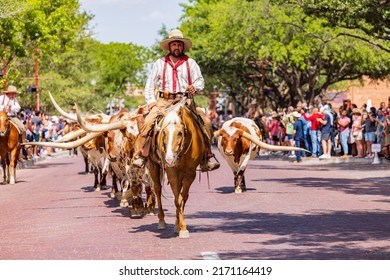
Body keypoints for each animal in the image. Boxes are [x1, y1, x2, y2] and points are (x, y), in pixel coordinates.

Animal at [148, 98, 206, 238]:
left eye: (180, 133)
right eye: (164, 133)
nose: (169, 159)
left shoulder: (190, 173)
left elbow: (182, 198)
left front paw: (180, 226)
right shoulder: (172, 172)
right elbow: (177, 199)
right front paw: (182, 227)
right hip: (153, 166)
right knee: (157, 189)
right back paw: (161, 221)